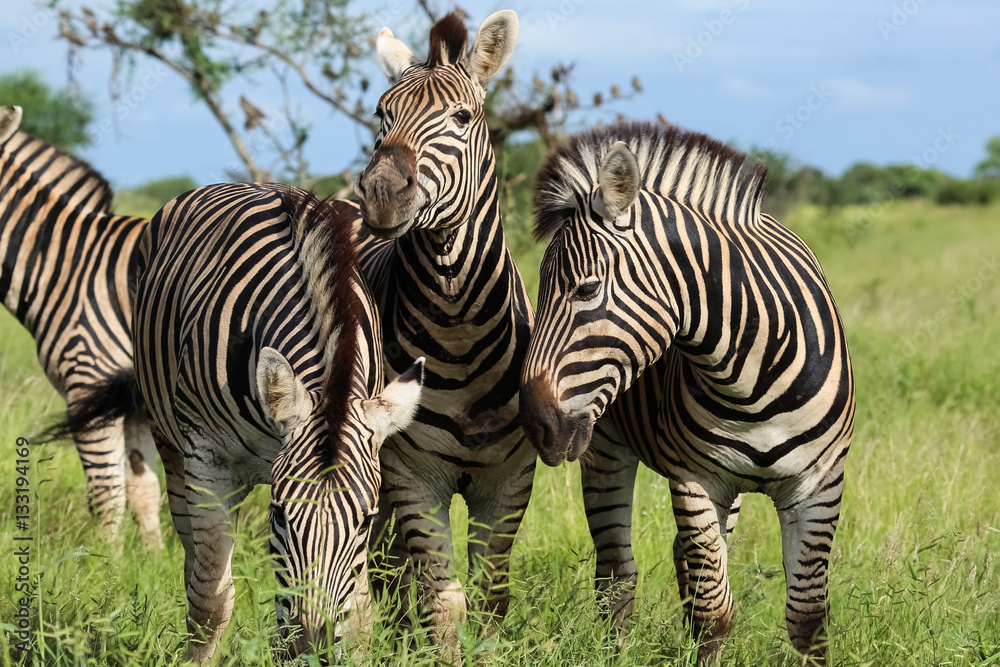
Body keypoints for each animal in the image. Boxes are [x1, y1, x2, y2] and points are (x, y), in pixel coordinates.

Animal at [0, 105, 162, 547]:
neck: (62, 265)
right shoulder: (135, 405)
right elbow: (143, 491)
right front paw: (153, 560)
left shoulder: (89, 383)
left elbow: (106, 494)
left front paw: (104, 561)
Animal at [352, 11, 535, 656]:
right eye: (381, 112)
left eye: (461, 118)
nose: (382, 193)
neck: (458, 334)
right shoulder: (411, 475)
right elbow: (444, 598)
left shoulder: (510, 480)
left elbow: (489, 596)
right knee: (385, 564)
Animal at [520, 122, 854, 664]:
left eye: (587, 289)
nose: (535, 424)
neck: (751, 375)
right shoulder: (696, 480)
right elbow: (714, 614)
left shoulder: (820, 484)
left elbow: (808, 620)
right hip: (606, 450)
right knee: (617, 574)